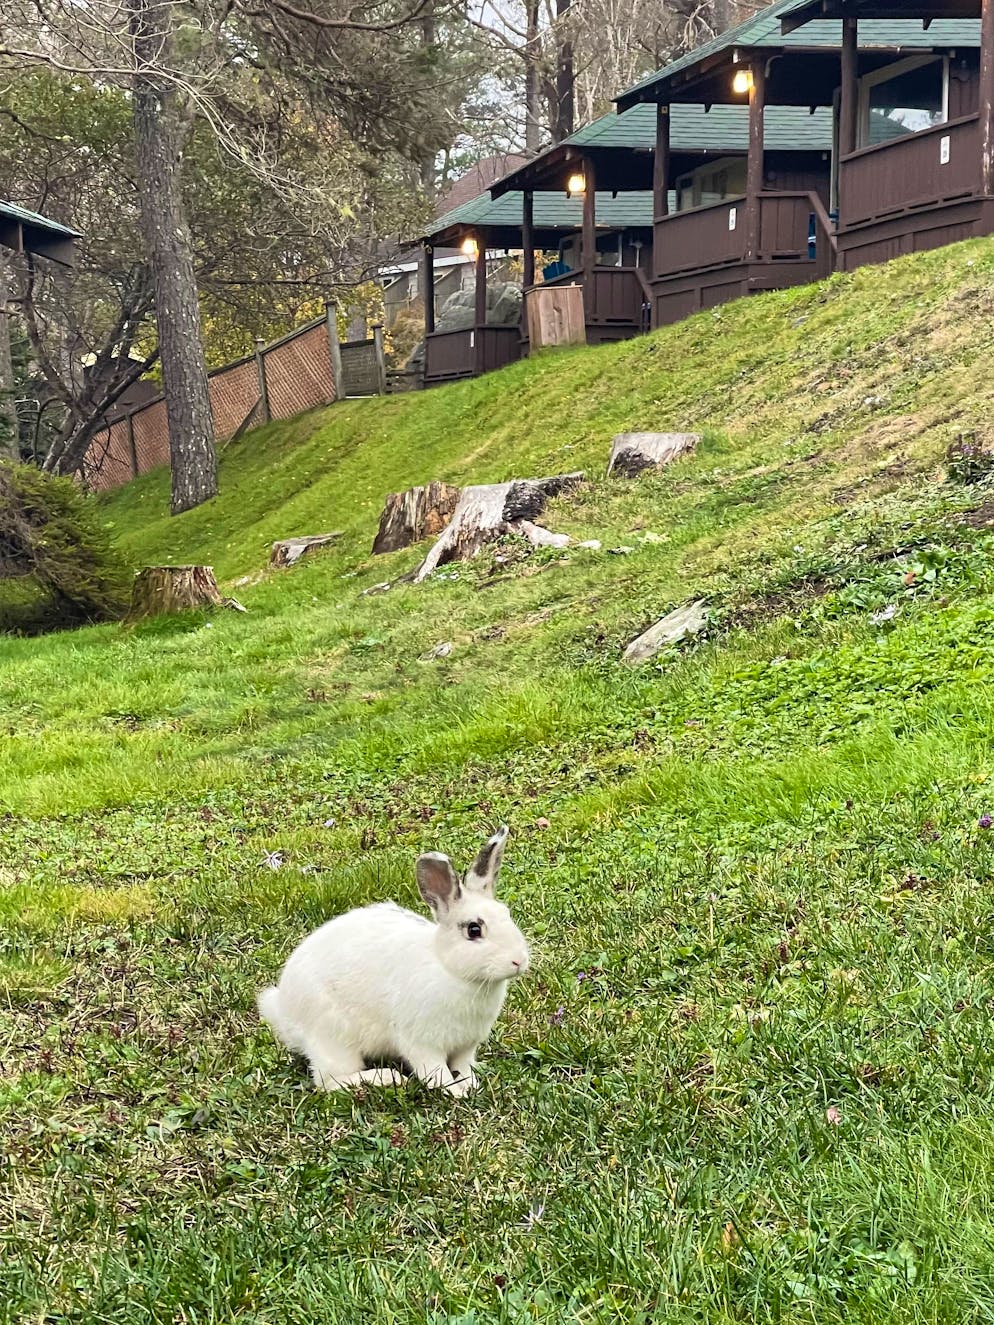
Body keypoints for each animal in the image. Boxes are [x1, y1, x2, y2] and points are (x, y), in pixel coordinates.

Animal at [261, 826, 532, 1097]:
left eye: (507, 914)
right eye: (474, 930)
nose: (519, 960)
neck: (451, 971)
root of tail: (283, 1010)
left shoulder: (466, 1046)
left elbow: (463, 1066)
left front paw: (470, 1083)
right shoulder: (421, 1042)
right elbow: (436, 1072)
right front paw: (455, 1091)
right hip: (333, 1037)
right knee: (330, 1080)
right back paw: (387, 1078)